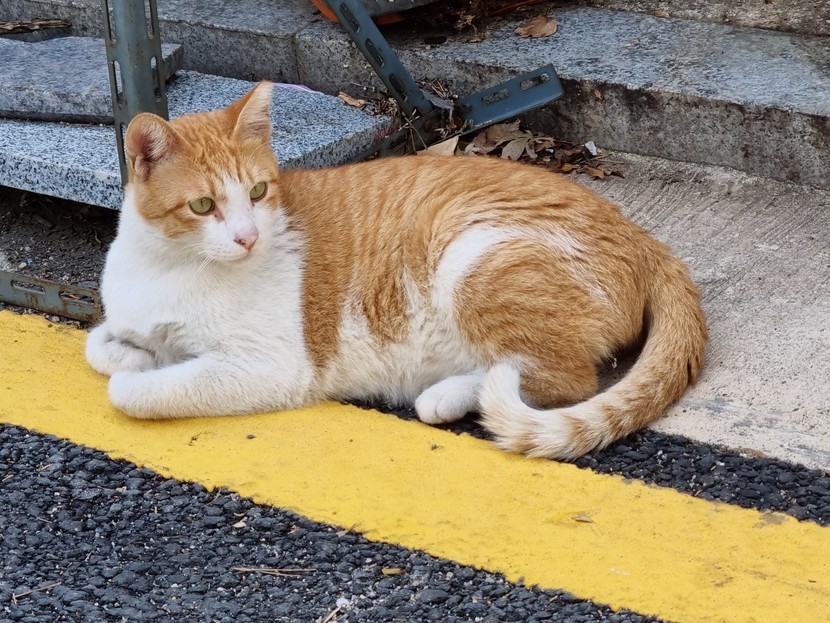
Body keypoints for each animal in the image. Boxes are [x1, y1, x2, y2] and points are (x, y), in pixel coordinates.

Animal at [85, 81, 707, 460]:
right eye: (202, 206)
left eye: (258, 192)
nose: (247, 236)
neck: (170, 266)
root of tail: (645, 238)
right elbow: (100, 346)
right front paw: (139, 353)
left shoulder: (269, 367)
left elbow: (128, 392)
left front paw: (146, 371)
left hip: (471, 257)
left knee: (564, 377)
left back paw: (448, 395)